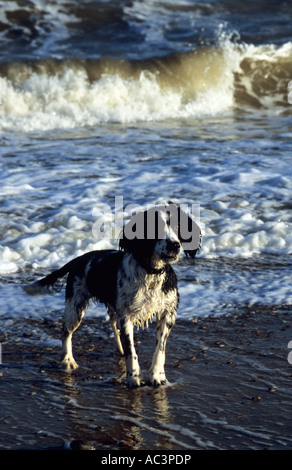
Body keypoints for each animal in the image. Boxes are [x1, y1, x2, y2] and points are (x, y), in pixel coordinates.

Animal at [24, 204, 201, 388]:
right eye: (154, 227)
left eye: (178, 226)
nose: (174, 245)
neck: (150, 273)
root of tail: (79, 259)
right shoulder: (127, 316)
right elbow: (132, 351)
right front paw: (133, 378)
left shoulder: (167, 313)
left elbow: (160, 349)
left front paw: (157, 376)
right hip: (75, 307)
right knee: (66, 331)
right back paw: (67, 361)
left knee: (112, 324)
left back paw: (118, 349)